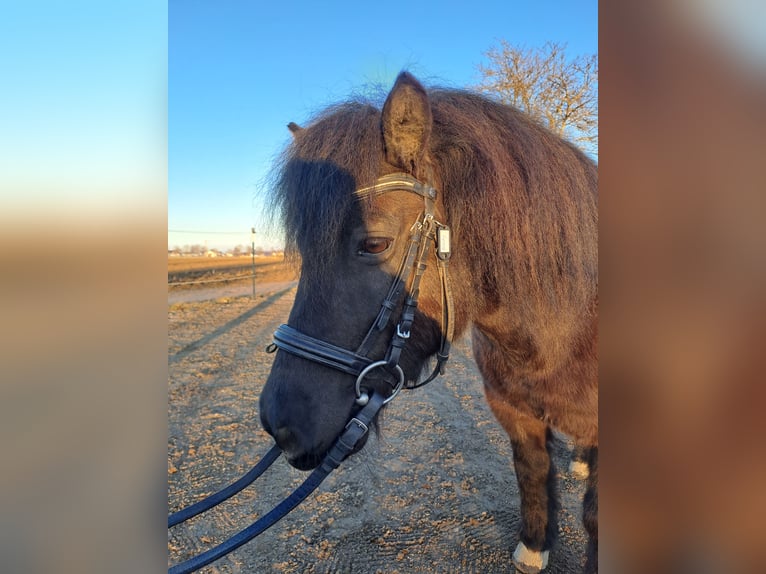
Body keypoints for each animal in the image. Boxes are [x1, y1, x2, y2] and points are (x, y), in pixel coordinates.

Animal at [260, 73, 600, 574]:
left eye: (374, 243)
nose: (278, 423)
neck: (563, 330)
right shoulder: (514, 411)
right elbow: (532, 472)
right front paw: (534, 546)